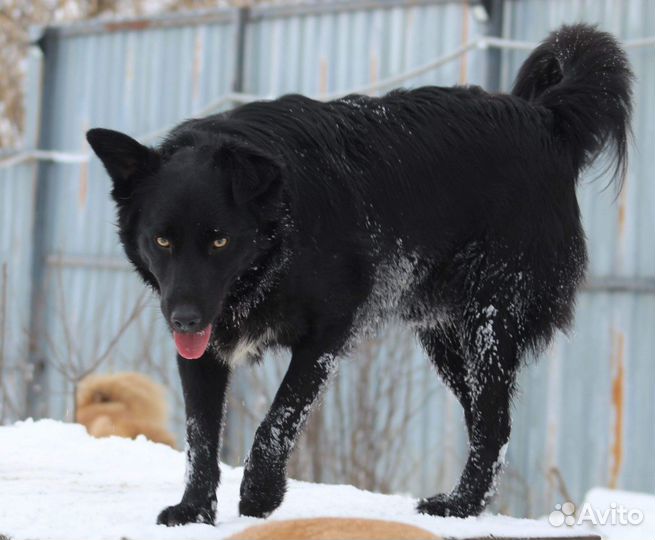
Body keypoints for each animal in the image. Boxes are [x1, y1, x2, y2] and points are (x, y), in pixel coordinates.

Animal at [86, 23, 632, 524]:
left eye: (220, 241)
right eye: (162, 241)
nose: (183, 320)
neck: (282, 235)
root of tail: (546, 120)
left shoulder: (328, 333)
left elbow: (279, 417)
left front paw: (260, 495)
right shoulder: (202, 350)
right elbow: (200, 436)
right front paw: (195, 510)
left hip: (490, 323)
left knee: (494, 422)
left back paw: (457, 507)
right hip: (444, 336)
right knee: (488, 424)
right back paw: (467, 504)